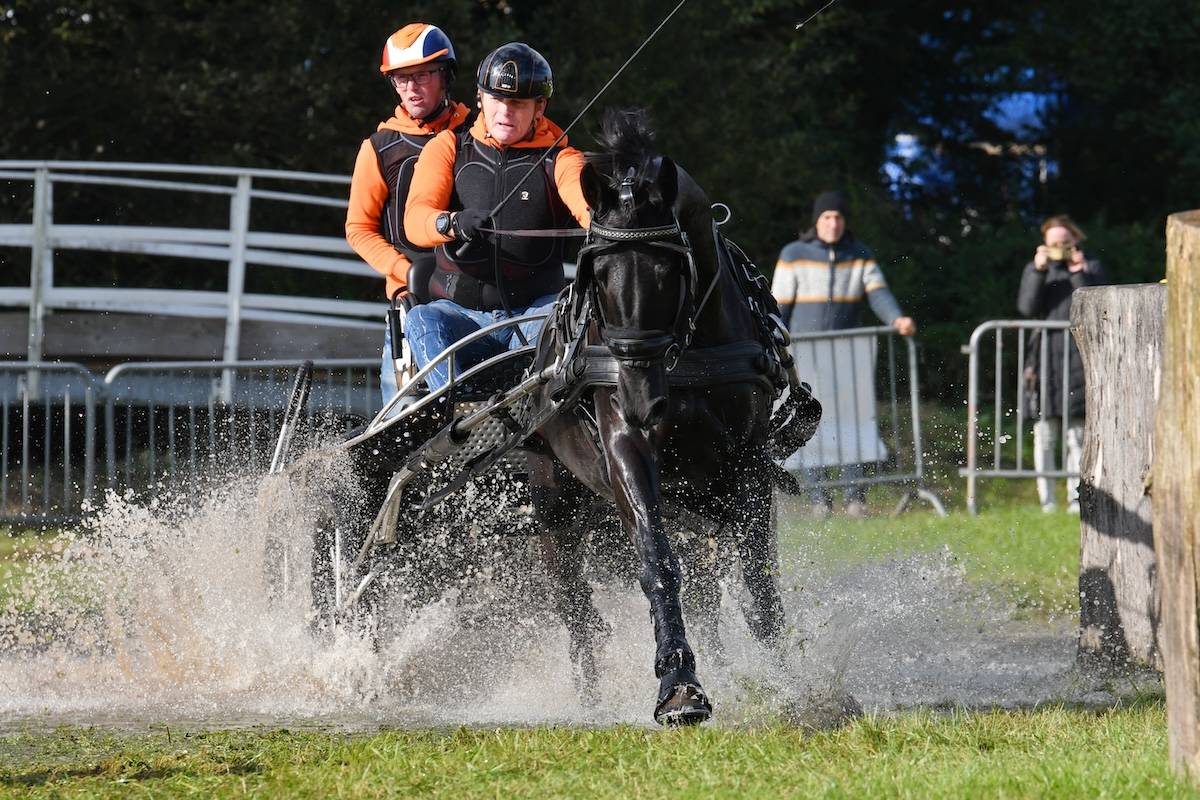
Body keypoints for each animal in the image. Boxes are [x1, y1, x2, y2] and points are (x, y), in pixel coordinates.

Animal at [527, 108, 801, 725]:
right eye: (596, 277)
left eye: (670, 272)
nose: (639, 398)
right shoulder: (627, 449)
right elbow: (658, 563)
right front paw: (679, 684)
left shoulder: (747, 463)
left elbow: (759, 581)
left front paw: (787, 681)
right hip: (556, 509)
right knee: (575, 610)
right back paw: (589, 698)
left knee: (707, 588)